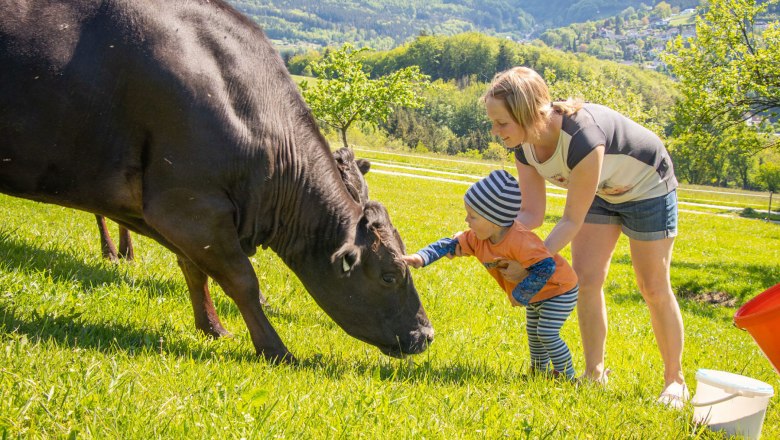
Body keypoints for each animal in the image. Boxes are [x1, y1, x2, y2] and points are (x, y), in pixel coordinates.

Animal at [1, 0, 432, 360]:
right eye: (390, 276)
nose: (426, 334)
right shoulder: (188, 205)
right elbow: (242, 280)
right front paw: (275, 349)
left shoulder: (188, 217)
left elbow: (194, 268)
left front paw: (212, 327)